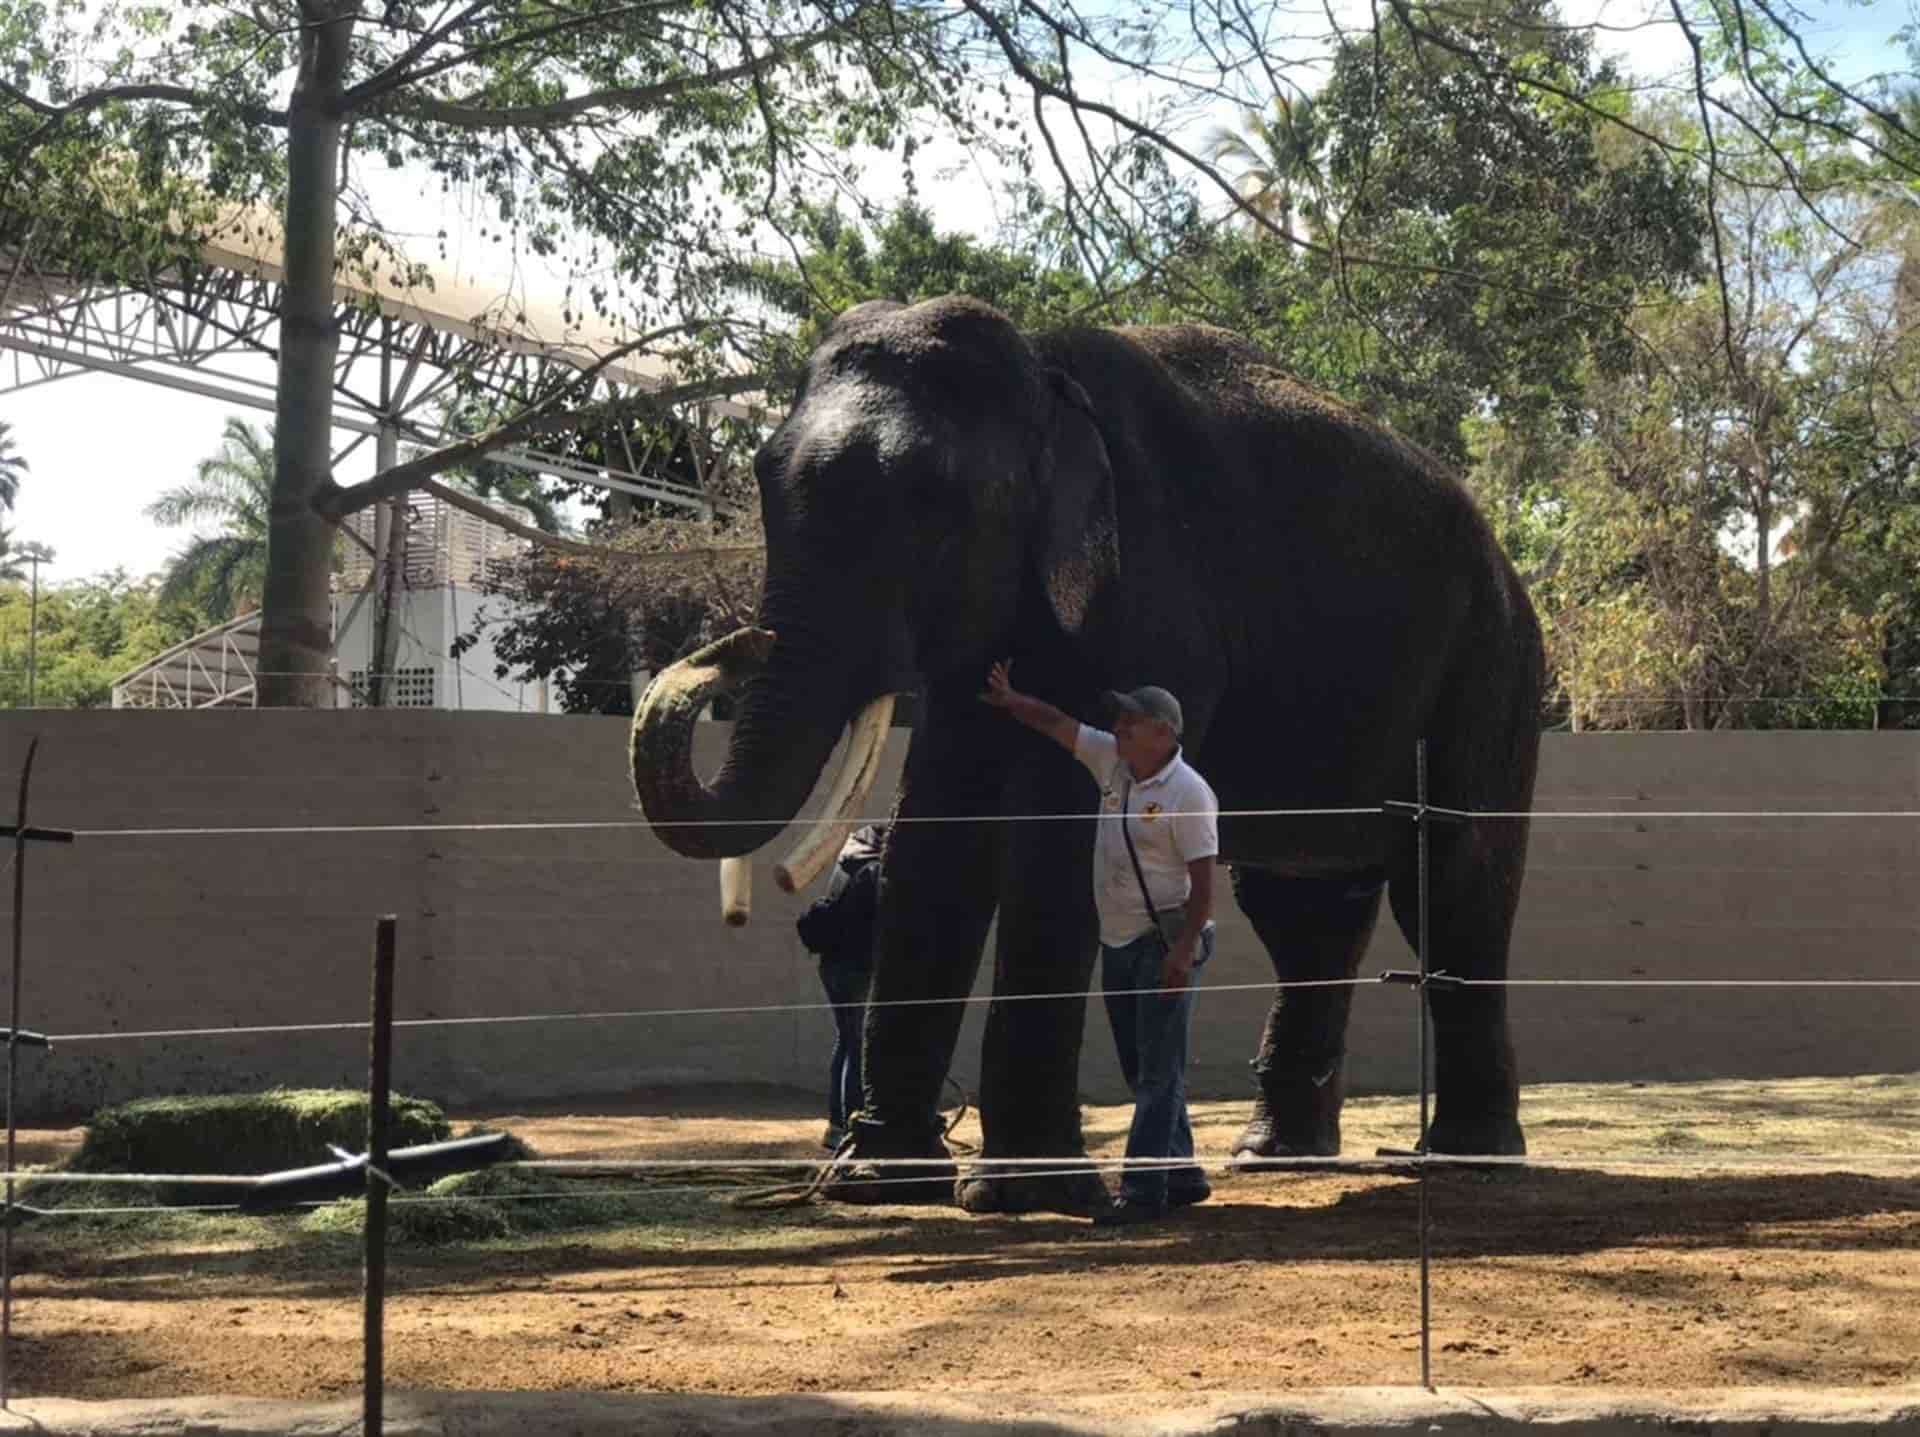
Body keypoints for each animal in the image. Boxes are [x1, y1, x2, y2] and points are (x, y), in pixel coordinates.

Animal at [631, 294, 1545, 1215]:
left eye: (928, 504)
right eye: (762, 475)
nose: (730, 647)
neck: (1044, 376)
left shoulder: (1149, 600)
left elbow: (1058, 834)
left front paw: (1020, 1192)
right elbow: (939, 829)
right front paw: (882, 1182)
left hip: (1492, 669)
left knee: (1453, 884)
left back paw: (1470, 1156)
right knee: (1303, 909)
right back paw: (1273, 1157)